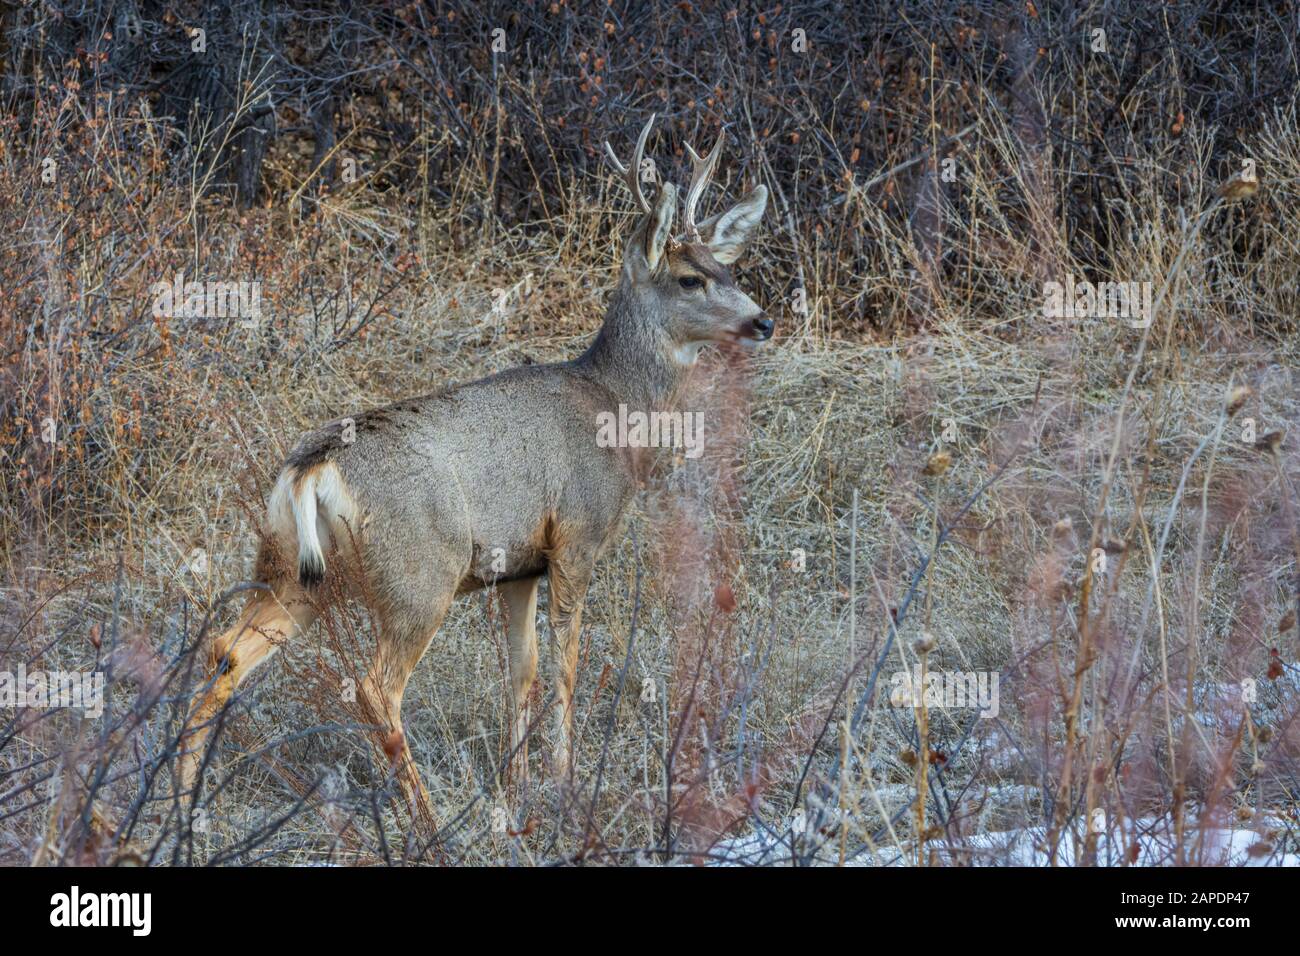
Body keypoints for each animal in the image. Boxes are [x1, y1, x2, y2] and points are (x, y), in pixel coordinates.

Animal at [177, 115, 771, 813]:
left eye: (726, 267)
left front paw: (516, 787)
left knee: (225, 652)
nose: (762, 321)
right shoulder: (577, 537)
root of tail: (311, 470)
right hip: (418, 574)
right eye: (689, 279)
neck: (616, 408)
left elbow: (523, 669)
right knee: (377, 686)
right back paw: (427, 817)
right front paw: (563, 782)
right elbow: (565, 664)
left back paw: (180, 800)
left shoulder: (518, 566)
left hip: (292, 572)